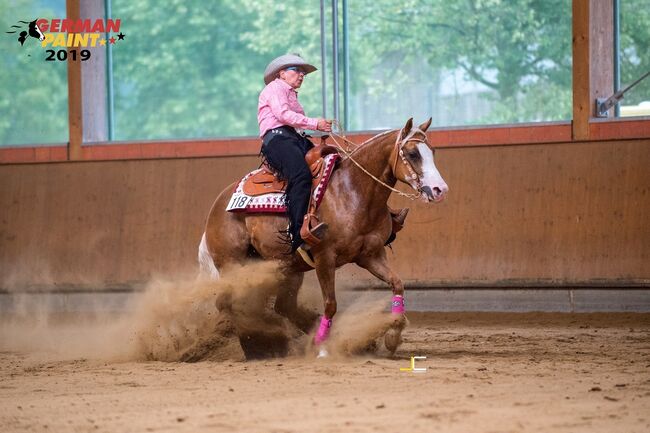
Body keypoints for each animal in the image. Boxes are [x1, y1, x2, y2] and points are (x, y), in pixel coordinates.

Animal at [199, 116, 446, 356]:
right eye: (413, 154)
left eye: (432, 151)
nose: (439, 190)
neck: (353, 191)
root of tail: (217, 206)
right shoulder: (324, 258)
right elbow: (331, 304)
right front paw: (323, 347)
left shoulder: (371, 255)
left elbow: (397, 284)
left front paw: (392, 337)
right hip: (233, 263)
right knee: (230, 303)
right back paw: (257, 347)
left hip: (283, 267)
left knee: (282, 306)